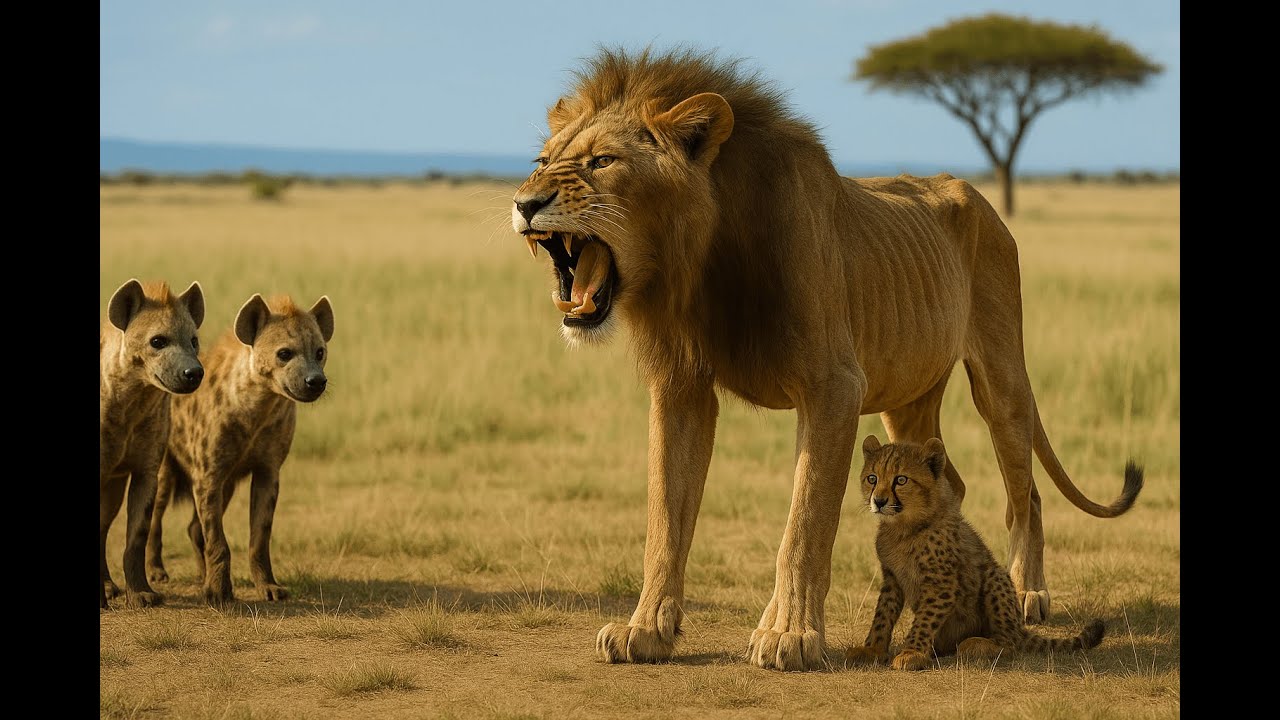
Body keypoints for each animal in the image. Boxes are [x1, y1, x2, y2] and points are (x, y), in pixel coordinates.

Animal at [510, 47, 1143, 671]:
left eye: (602, 162)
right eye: (542, 160)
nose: (524, 202)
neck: (702, 261)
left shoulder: (833, 386)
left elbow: (805, 523)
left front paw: (789, 635)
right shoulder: (680, 386)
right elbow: (665, 520)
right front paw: (645, 631)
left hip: (1001, 378)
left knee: (1025, 492)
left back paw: (1027, 592)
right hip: (908, 401)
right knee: (952, 479)